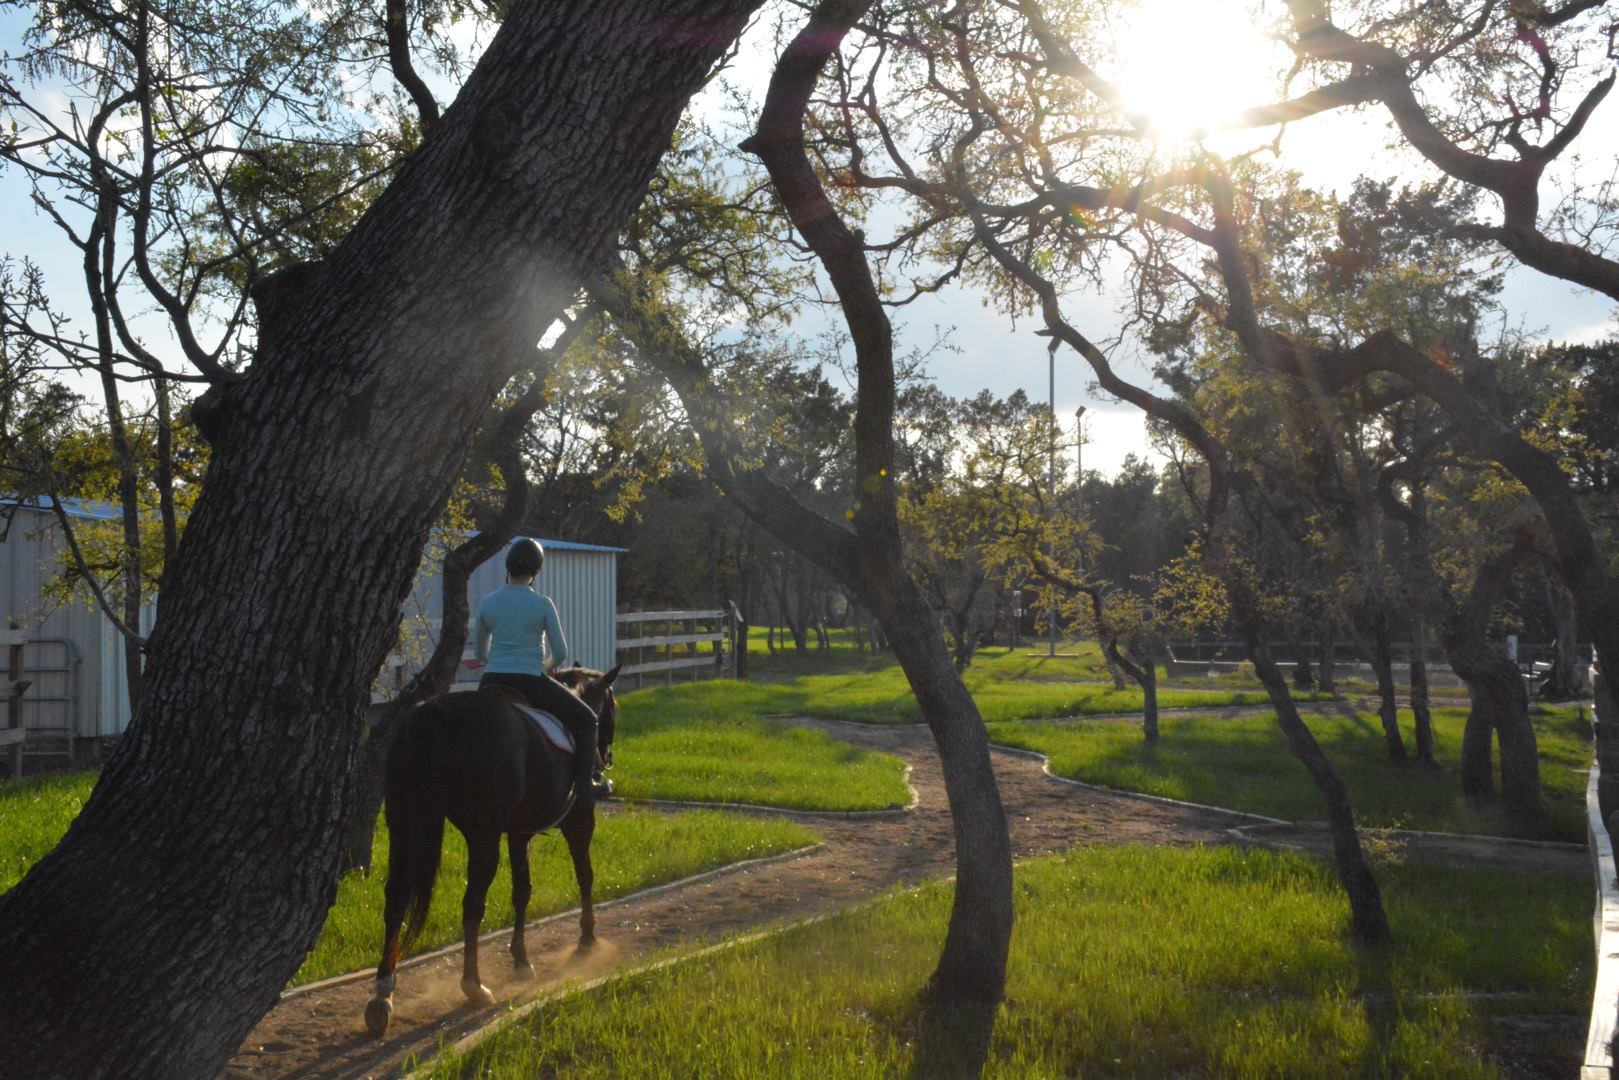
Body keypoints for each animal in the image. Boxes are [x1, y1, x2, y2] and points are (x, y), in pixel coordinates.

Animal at [365, 660, 618, 1036]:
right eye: (612, 707)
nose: (606, 757)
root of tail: (434, 713)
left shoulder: (519, 833)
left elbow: (522, 891)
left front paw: (522, 960)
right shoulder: (579, 820)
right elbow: (584, 875)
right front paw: (586, 938)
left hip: (403, 821)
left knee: (395, 898)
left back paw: (382, 993)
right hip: (481, 833)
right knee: (472, 904)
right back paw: (474, 985)